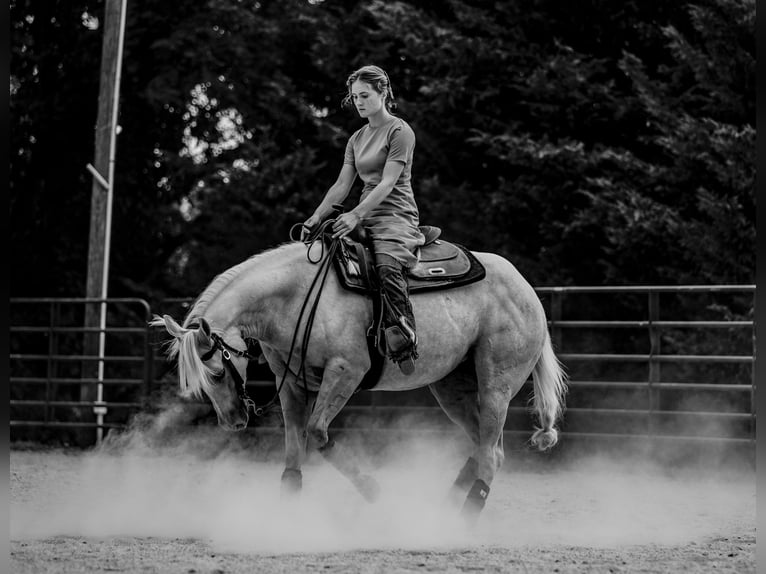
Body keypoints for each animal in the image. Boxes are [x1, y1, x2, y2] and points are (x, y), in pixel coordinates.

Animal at [152, 239, 567, 521]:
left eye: (218, 371)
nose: (233, 422)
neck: (295, 298)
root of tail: (527, 290)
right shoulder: (290, 385)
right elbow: (294, 445)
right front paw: (286, 509)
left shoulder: (345, 372)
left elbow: (317, 433)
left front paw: (371, 489)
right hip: (453, 387)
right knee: (483, 446)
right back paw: (443, 509)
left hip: (496, 384)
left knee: (492, 452)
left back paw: (460, 519)